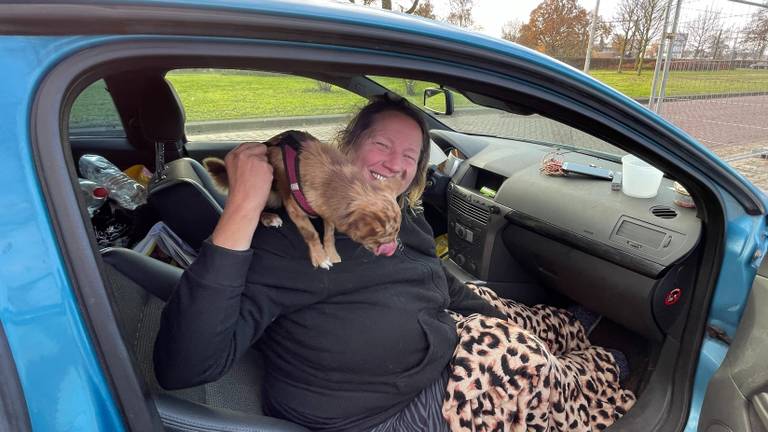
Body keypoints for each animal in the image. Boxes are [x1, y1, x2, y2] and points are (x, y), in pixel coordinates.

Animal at [201, 130, 404, 268]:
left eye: (395, 235)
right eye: (380, 239)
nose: (394, 248)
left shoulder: (327, 213)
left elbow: (329, 234)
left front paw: (331, 254)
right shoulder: (294, 208)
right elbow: (311, 233)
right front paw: (320, 257)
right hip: (270, 192)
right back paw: (269, 218)